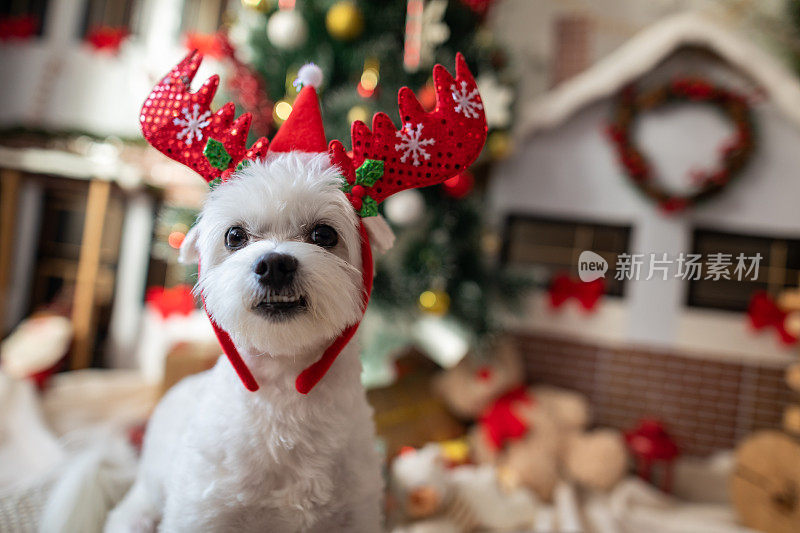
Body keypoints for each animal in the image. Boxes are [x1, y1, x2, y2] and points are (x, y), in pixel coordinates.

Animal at [105, 152, 384, 528]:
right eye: (235, 236)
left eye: (324, 234)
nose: (275, 265)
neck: (283, 390)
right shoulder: (200, 513)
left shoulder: (357, 514)